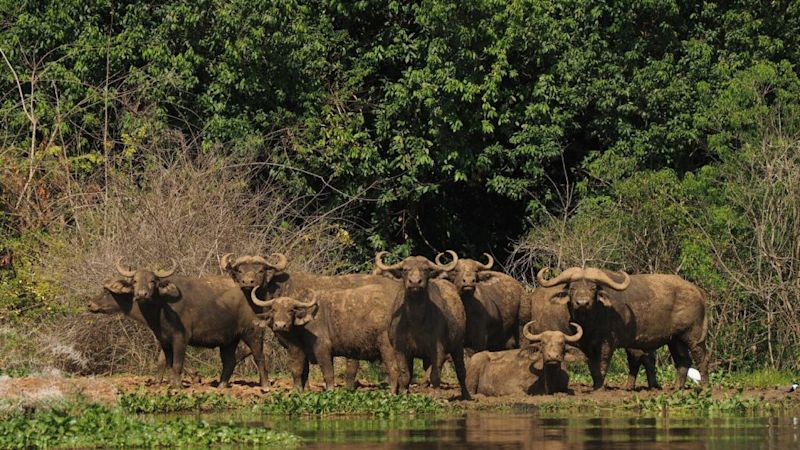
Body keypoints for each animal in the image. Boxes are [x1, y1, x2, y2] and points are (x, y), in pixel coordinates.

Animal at [88, 258, 268, 388]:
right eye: (134, 281)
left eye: (153, 281)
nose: (141, 294)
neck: (160, 308)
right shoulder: (164, 339)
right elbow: (165, 361)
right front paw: (163, 382)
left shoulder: (181, 337)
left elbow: (177, 362)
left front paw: (178, 384)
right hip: (229, 340)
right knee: (229, 361)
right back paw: (221, 386)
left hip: (253, 331)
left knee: (259, 356)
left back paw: (265, 385)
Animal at [252, 286, 398, 392]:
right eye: (274, 310)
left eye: (291, 310)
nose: (280, 325)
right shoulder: (299, 350)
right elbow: (299, 370)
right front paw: (298, 390)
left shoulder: (322, 349)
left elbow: (327, 372)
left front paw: (330, 391)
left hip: (387, 348)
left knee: (393, 370)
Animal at [374, 251, 472, 400]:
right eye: (405, 269)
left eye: (425, 269)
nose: (415, 282)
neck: (416, 322)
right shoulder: (399, 349)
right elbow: (405, 374)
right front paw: (404, 394)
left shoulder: (438, 348)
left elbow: (436, 374)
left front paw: (437, 396)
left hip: (458, 345)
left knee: (461, 370)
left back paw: (466, 395)